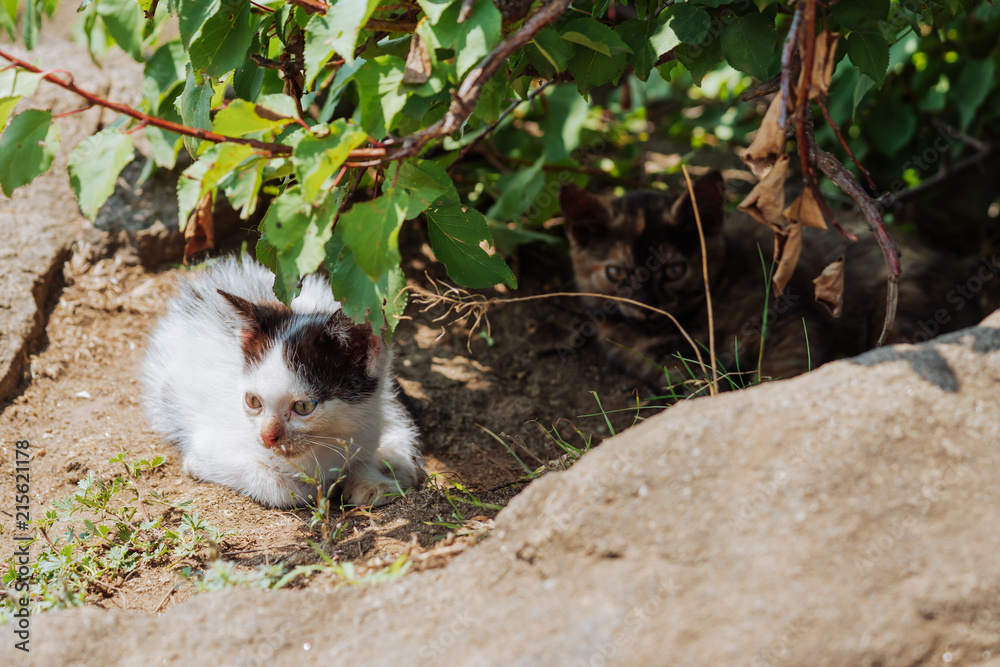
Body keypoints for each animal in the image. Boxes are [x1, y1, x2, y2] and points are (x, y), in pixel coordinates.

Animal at [141, 258, 422, 508]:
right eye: (252, 401)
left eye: (304, 407)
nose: (267, 437)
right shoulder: (210, 443)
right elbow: (274, 485)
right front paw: (307, 489)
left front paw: (374, 482)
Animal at [564, 172, 984, 388]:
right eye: (616, 273)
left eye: (674, 270)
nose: (648, 304)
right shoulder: (668, 367)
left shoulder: (787, 319)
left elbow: (778, 371)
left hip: (896, 302)